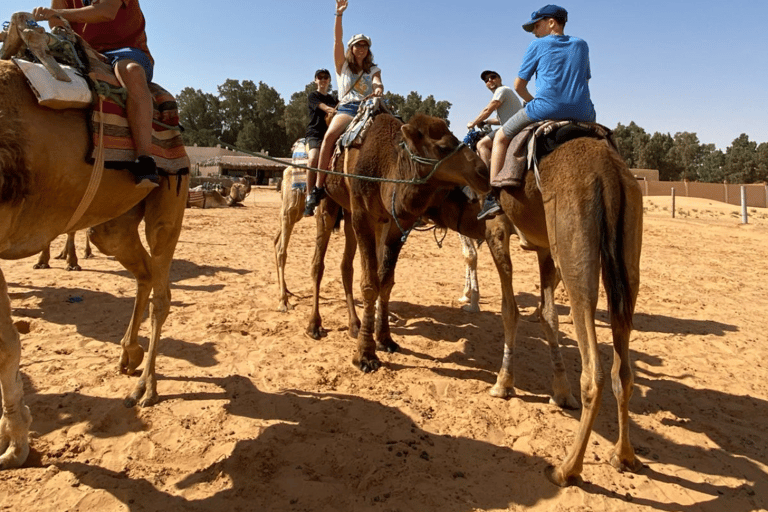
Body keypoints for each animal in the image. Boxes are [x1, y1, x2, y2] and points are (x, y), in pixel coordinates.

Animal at [0, 57, 189, 472]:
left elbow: (5, 344)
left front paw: (15, 445)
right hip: (113, 222)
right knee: (142, 271)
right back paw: (129, 355)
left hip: (170, 196)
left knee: (162, 291)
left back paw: (145, 387)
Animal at [304, 114, 486, 372]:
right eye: (442, 147)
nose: (483, 172)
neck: (386, 169)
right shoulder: (363, 215)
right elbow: (370, 284)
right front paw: (365, 355)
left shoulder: (395, 224)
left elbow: (386, 282)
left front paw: (385, 339)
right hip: (329, 202)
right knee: (318, 262)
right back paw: (315, 325)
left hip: (348, 213)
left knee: (345, 266)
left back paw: (354, 324)